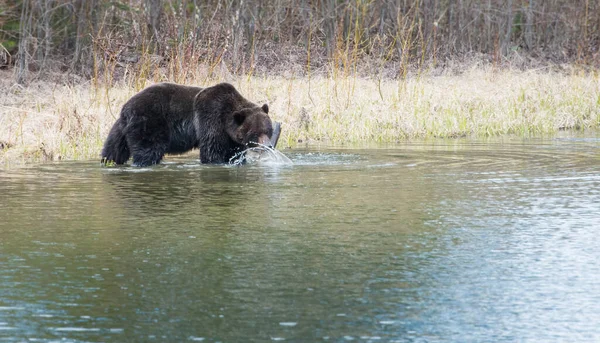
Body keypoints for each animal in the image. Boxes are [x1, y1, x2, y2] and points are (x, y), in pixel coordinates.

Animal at [101, 82, 278, 165]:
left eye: (268, 130)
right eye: (255, 133)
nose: (268, 145)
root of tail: (126, 107)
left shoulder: (231, 137)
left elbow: (235, 153)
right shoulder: (211, 117)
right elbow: (212, 150)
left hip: (120, 128)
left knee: (114, 149)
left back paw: (109, 161)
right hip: (149, 121)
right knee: (148, 149)